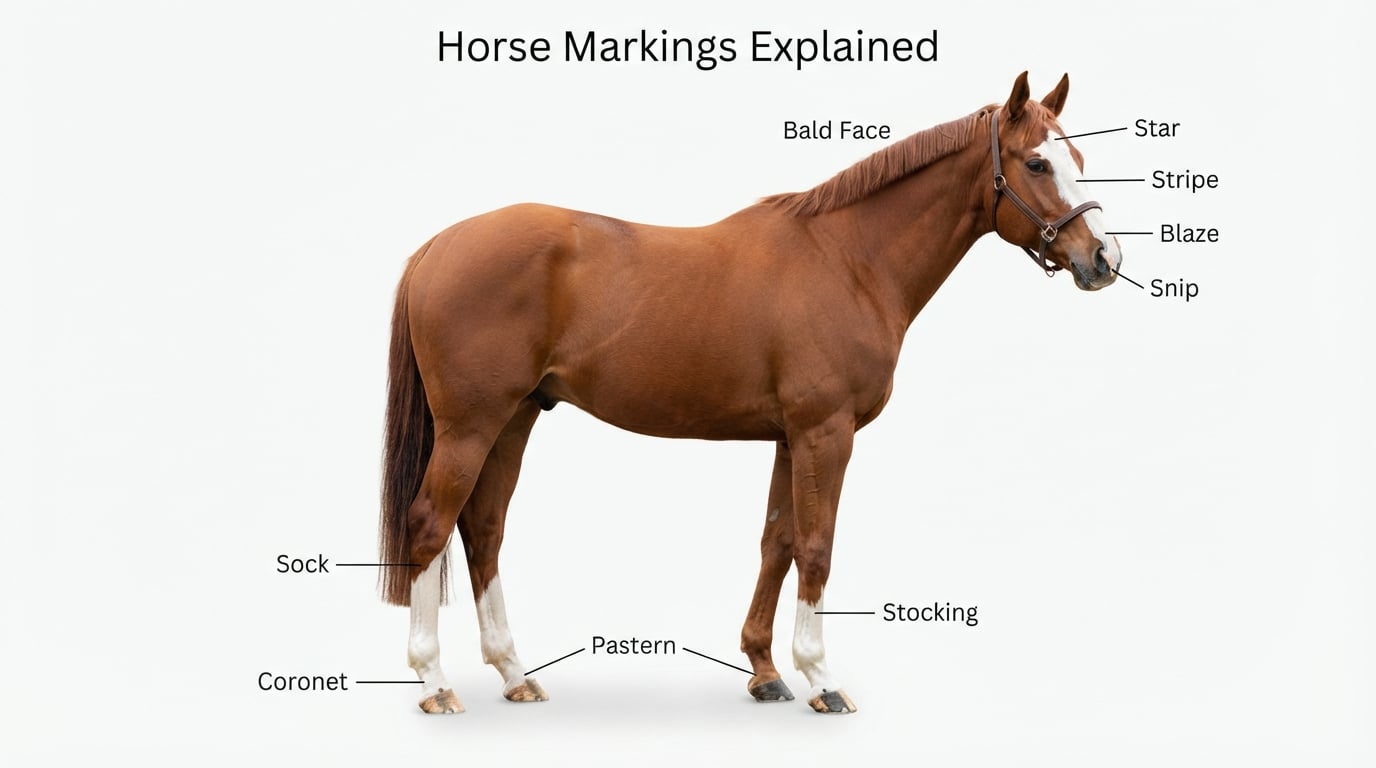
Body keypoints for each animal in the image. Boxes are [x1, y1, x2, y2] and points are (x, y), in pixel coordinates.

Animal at [378, 72, 1122, 715]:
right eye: (1037, 164)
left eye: (1081, 155)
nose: (1104, 260)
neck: (850, 259)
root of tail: (438, 245)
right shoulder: (826, 432)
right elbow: (817, 546)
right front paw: (821, 678)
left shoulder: (792, 437)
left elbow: (778, 542)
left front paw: (765, 672)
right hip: (472, 425)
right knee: (430, 524)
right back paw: (435, 682)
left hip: (515, 419)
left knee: (483, 529)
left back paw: (514, 673)